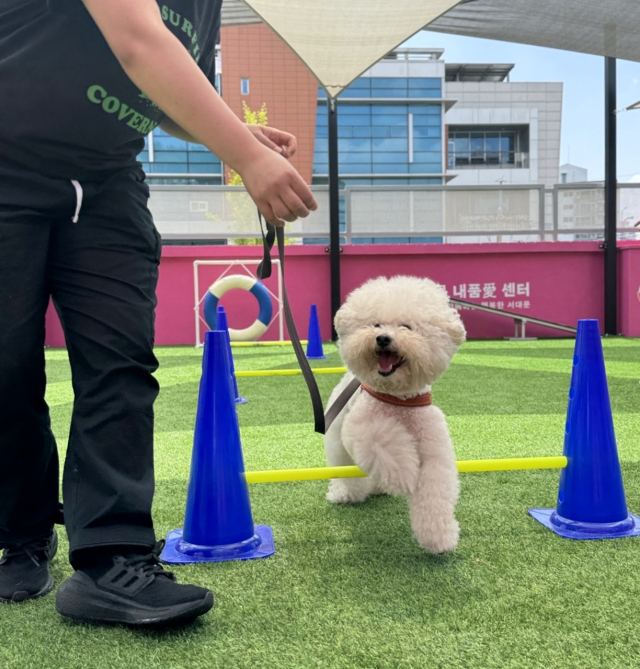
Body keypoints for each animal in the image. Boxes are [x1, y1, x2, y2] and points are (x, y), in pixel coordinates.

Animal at [324, 274, 464, 552]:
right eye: (376, 324)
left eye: (406, 327)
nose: (382, 338)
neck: (399, 400)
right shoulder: (364, 429)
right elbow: (387, 447)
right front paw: (404, 477)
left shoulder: (434, 450)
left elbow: (435, 492)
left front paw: (439, 537)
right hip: (338, 443)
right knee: (346, 470)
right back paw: (345, 494)